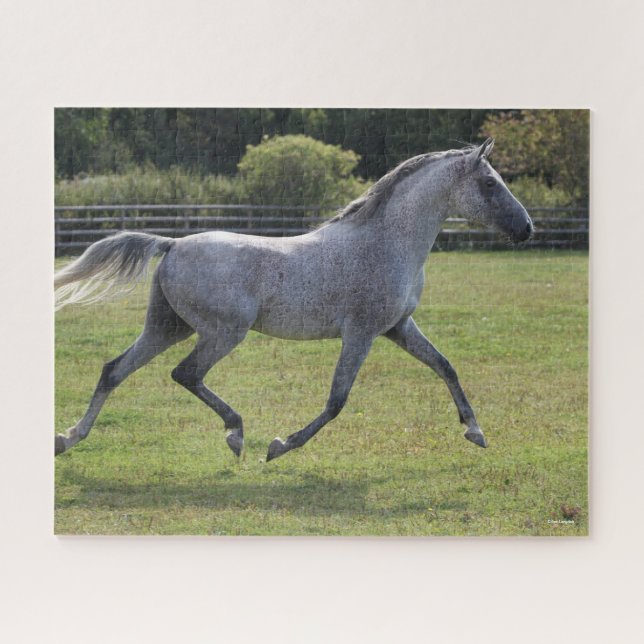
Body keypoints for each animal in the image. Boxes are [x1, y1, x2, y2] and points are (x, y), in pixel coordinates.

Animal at [54, 138, 532, 461]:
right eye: (490, 183)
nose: (526, 229)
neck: (385, 243)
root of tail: (172, 245)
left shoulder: (398, 327)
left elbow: (445, 366)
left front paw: (475, 432)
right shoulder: (361, 333)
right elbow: (337, 400)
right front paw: (280, 445)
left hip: (168, 327)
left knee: (114, 370)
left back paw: (68, 438)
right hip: (222, 332)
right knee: (185, 373)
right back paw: (236, 434)